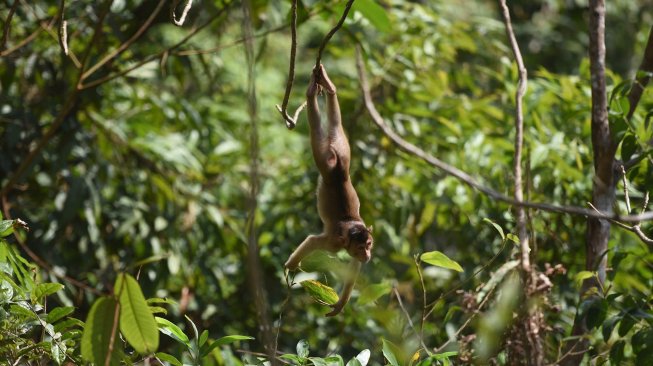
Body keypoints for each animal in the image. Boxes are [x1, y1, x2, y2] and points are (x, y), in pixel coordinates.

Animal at [284, 64, 372, 316]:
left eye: (368, 245)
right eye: (362, 247)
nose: (368, 255)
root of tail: (339, 170)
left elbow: (354, 266)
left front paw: (340, 304)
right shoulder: (333, 243)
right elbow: (313, 241)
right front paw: (290, 267)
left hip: (342, 150)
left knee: (335, 126)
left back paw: (328, 88)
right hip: (325, 161)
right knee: (316, 133)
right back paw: (311, 93)